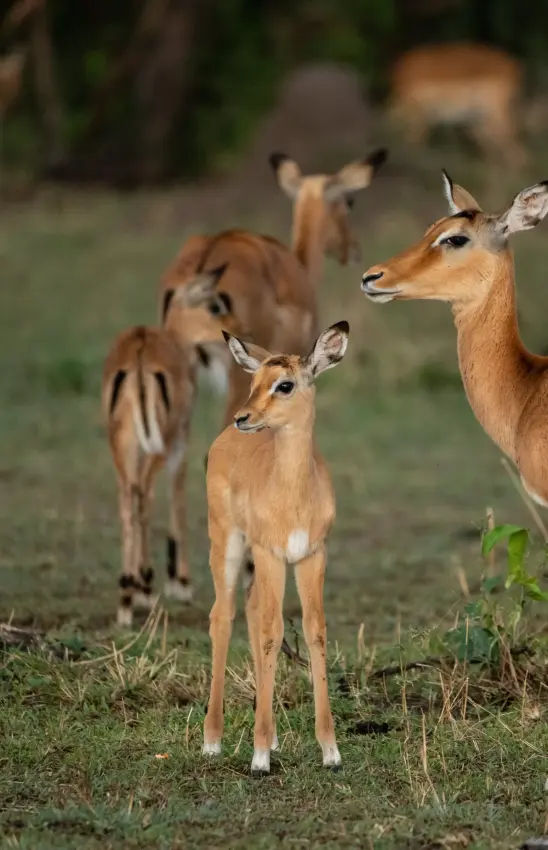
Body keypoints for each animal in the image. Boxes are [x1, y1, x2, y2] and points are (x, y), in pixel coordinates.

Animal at [102, 268, 240, 626]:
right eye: (215, 305)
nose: (237, 333)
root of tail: (138, 352)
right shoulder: (179, 442)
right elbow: (176, 492)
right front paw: (181, 584)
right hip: (157, 445)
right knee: (144, 494)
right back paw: (139, 591)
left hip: (121, 445)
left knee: (128, 497)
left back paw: (126, 595)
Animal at [203, 321, 350, 775]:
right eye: (254, 382)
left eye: (285, 384)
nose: (244, 417)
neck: (294, 494)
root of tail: (222, 440)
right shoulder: (270, 553)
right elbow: (272, 633)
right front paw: (259, 758)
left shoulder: (311, 555)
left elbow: (315, 631)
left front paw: (330, 751)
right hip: (228, 544)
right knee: (223, 616)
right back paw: (212, 741)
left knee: (250, 611)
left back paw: (273, 737)